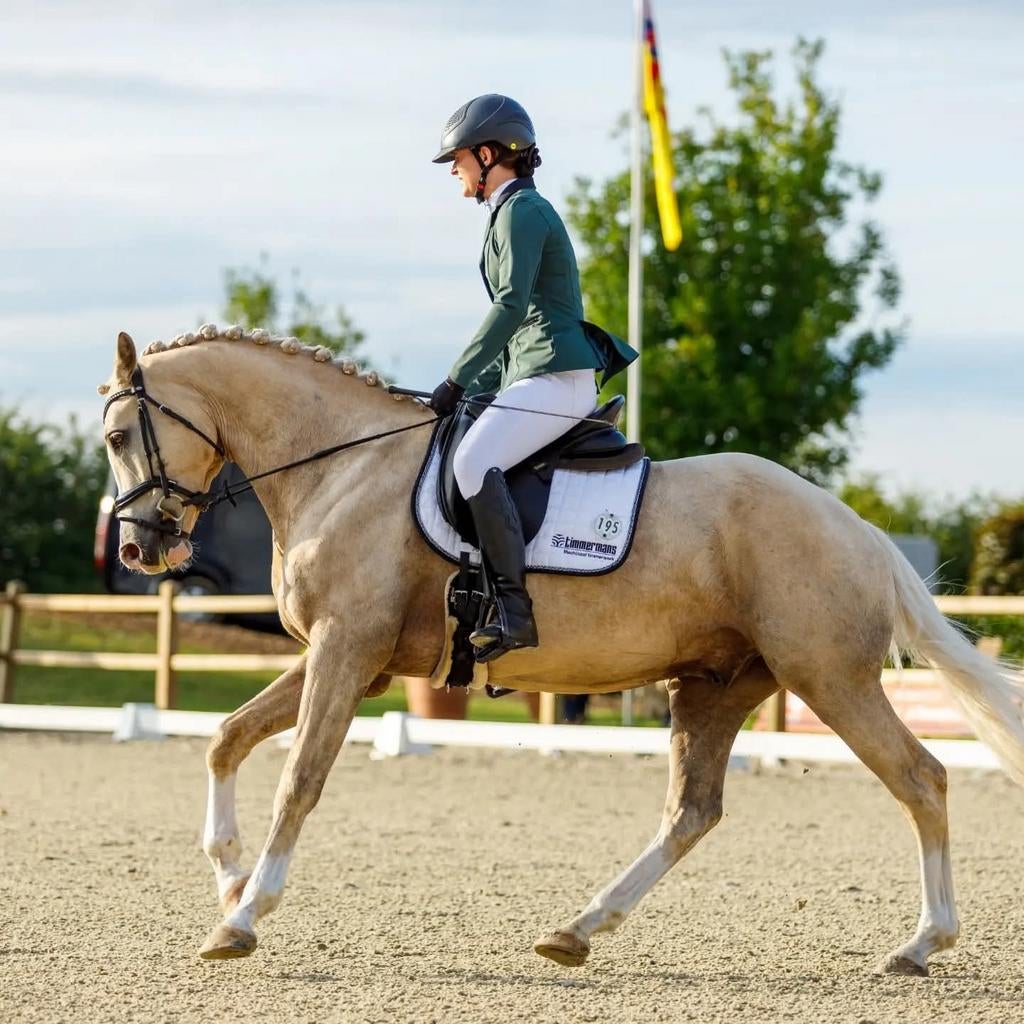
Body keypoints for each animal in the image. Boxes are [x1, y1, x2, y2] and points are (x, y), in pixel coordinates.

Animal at [98, 325, 1024, 976]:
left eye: (115, 438)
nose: (142, 549)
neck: (340, 468)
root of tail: (858, 527)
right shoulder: (350, 656)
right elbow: (226, 740)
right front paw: (227, 877)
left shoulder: (346, 650)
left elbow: (299, 779)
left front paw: (242, 916)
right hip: (716, 684)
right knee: (692, 812)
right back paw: (577, 930)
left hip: (827, 677)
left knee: (921, 779)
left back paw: (921, 943)